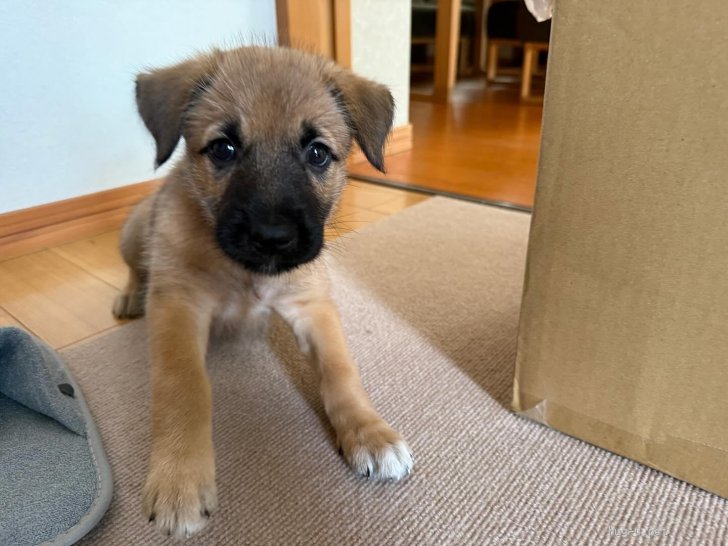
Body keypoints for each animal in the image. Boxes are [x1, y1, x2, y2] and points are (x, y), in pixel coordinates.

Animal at [112, 46, 413, 538]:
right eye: (224, 148)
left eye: (317, 153)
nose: (273, 237)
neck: (247, 275)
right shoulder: (178, 306)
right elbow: (183, 389)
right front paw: (180, 478)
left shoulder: (313, 306)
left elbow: (341, 372)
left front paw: (370, 434)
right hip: (136, 230)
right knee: (138, 269)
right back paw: (130, 296)